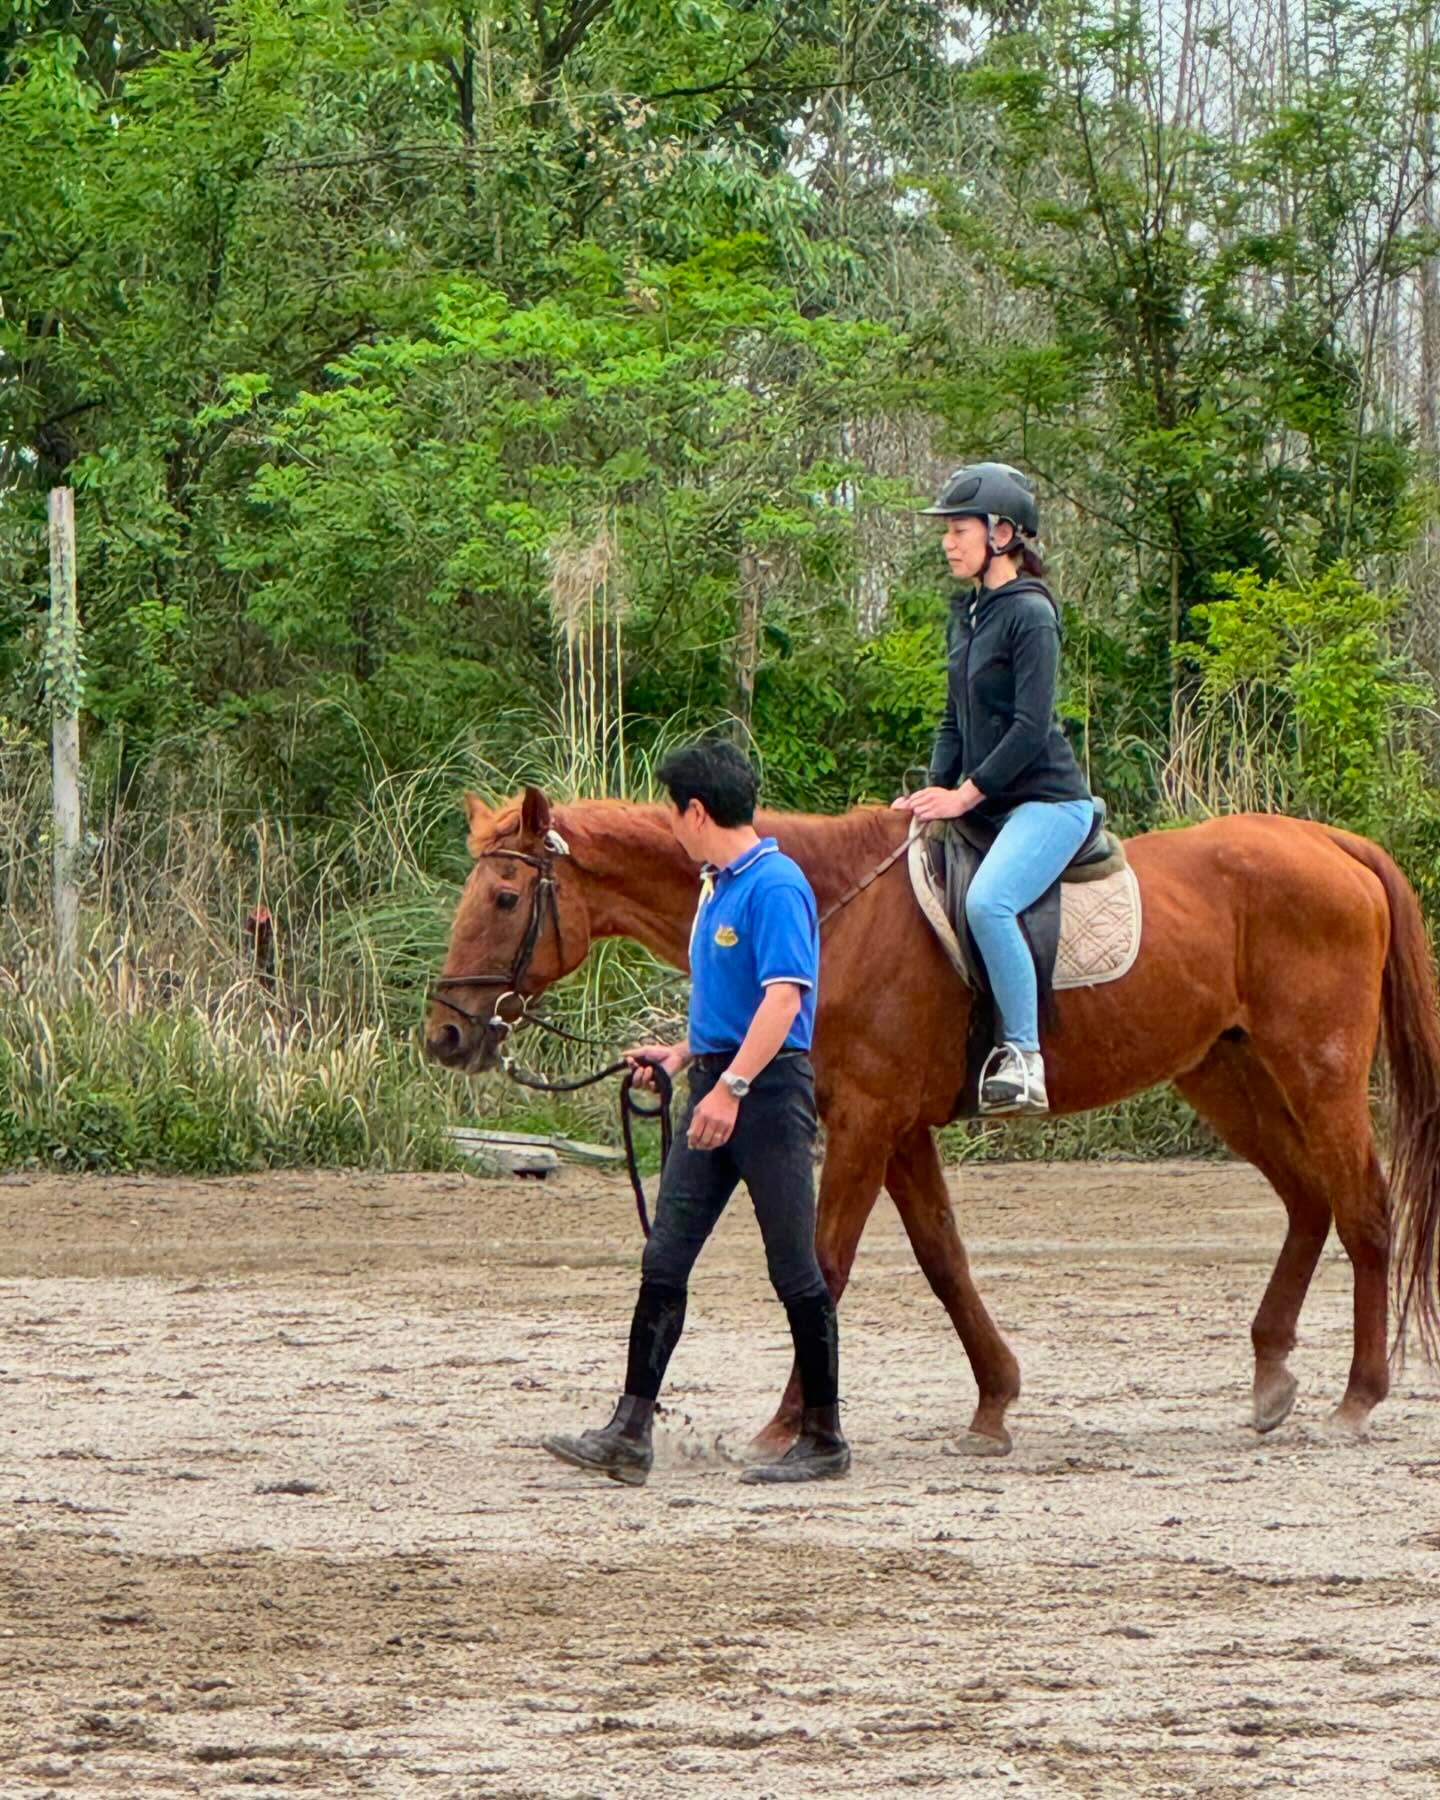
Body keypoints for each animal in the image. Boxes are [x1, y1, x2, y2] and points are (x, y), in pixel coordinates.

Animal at [424, 788, 1440, 1447]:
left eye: (505, 897)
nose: (445, 1032)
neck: (827, 910)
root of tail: (1334, 847)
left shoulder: (867, 1122)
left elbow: (824, 1265)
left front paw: (789, 1426)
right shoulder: (898, 1127)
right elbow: (944, 1259)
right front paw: (994, 1404)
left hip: (1318, 1078)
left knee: (1362, 1212)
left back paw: (1359, 1399)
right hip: (1228, 1078)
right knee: (1309, 1203)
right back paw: (1272, 1379)